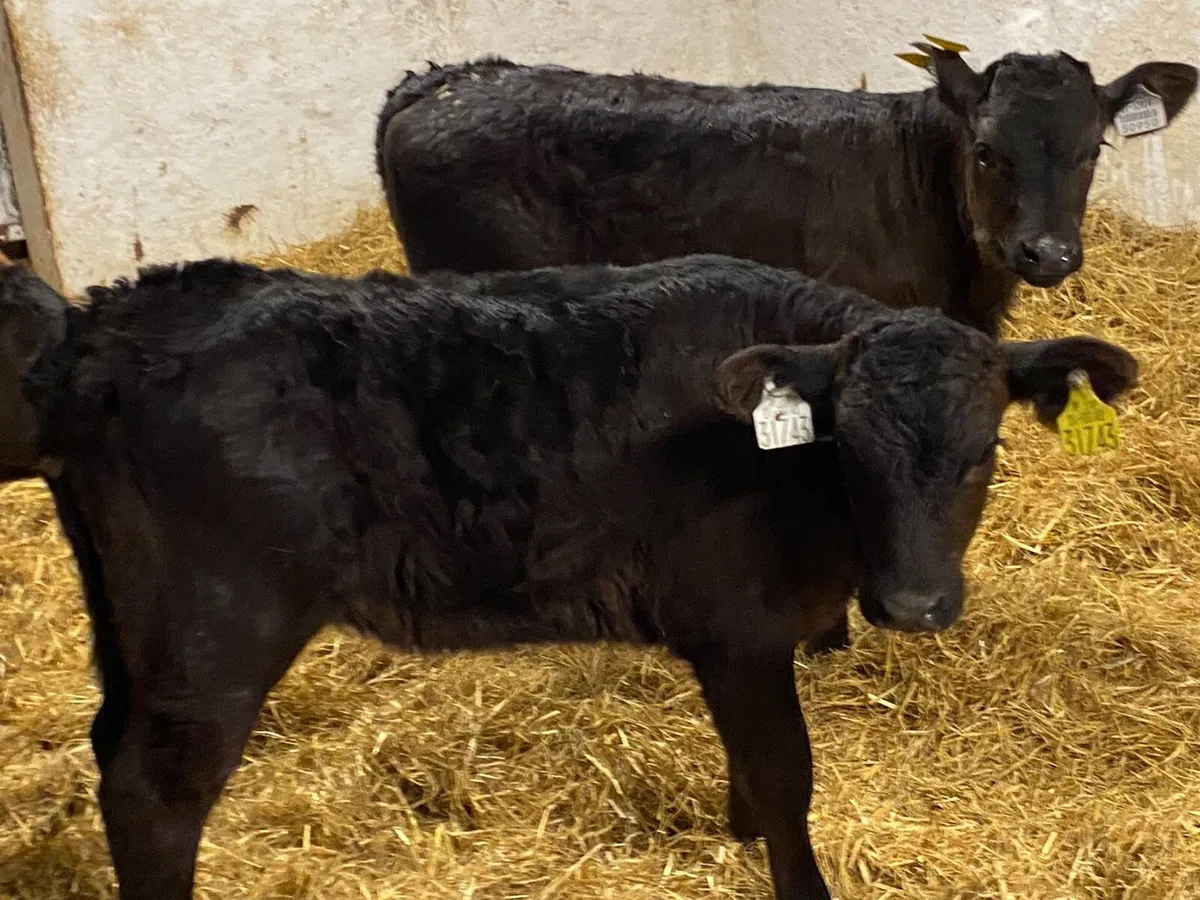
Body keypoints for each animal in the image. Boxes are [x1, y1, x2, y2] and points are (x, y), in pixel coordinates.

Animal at [0, 255, 1136, 900]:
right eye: (849, 448)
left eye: (985, 450)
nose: (913, 605)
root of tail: (117, 323)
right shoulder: (739, 625)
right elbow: (787, 773)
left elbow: (753, 766)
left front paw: (734, 835)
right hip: (218, 628)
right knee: (153, 792)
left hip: (133, 619)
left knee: (109, 747)